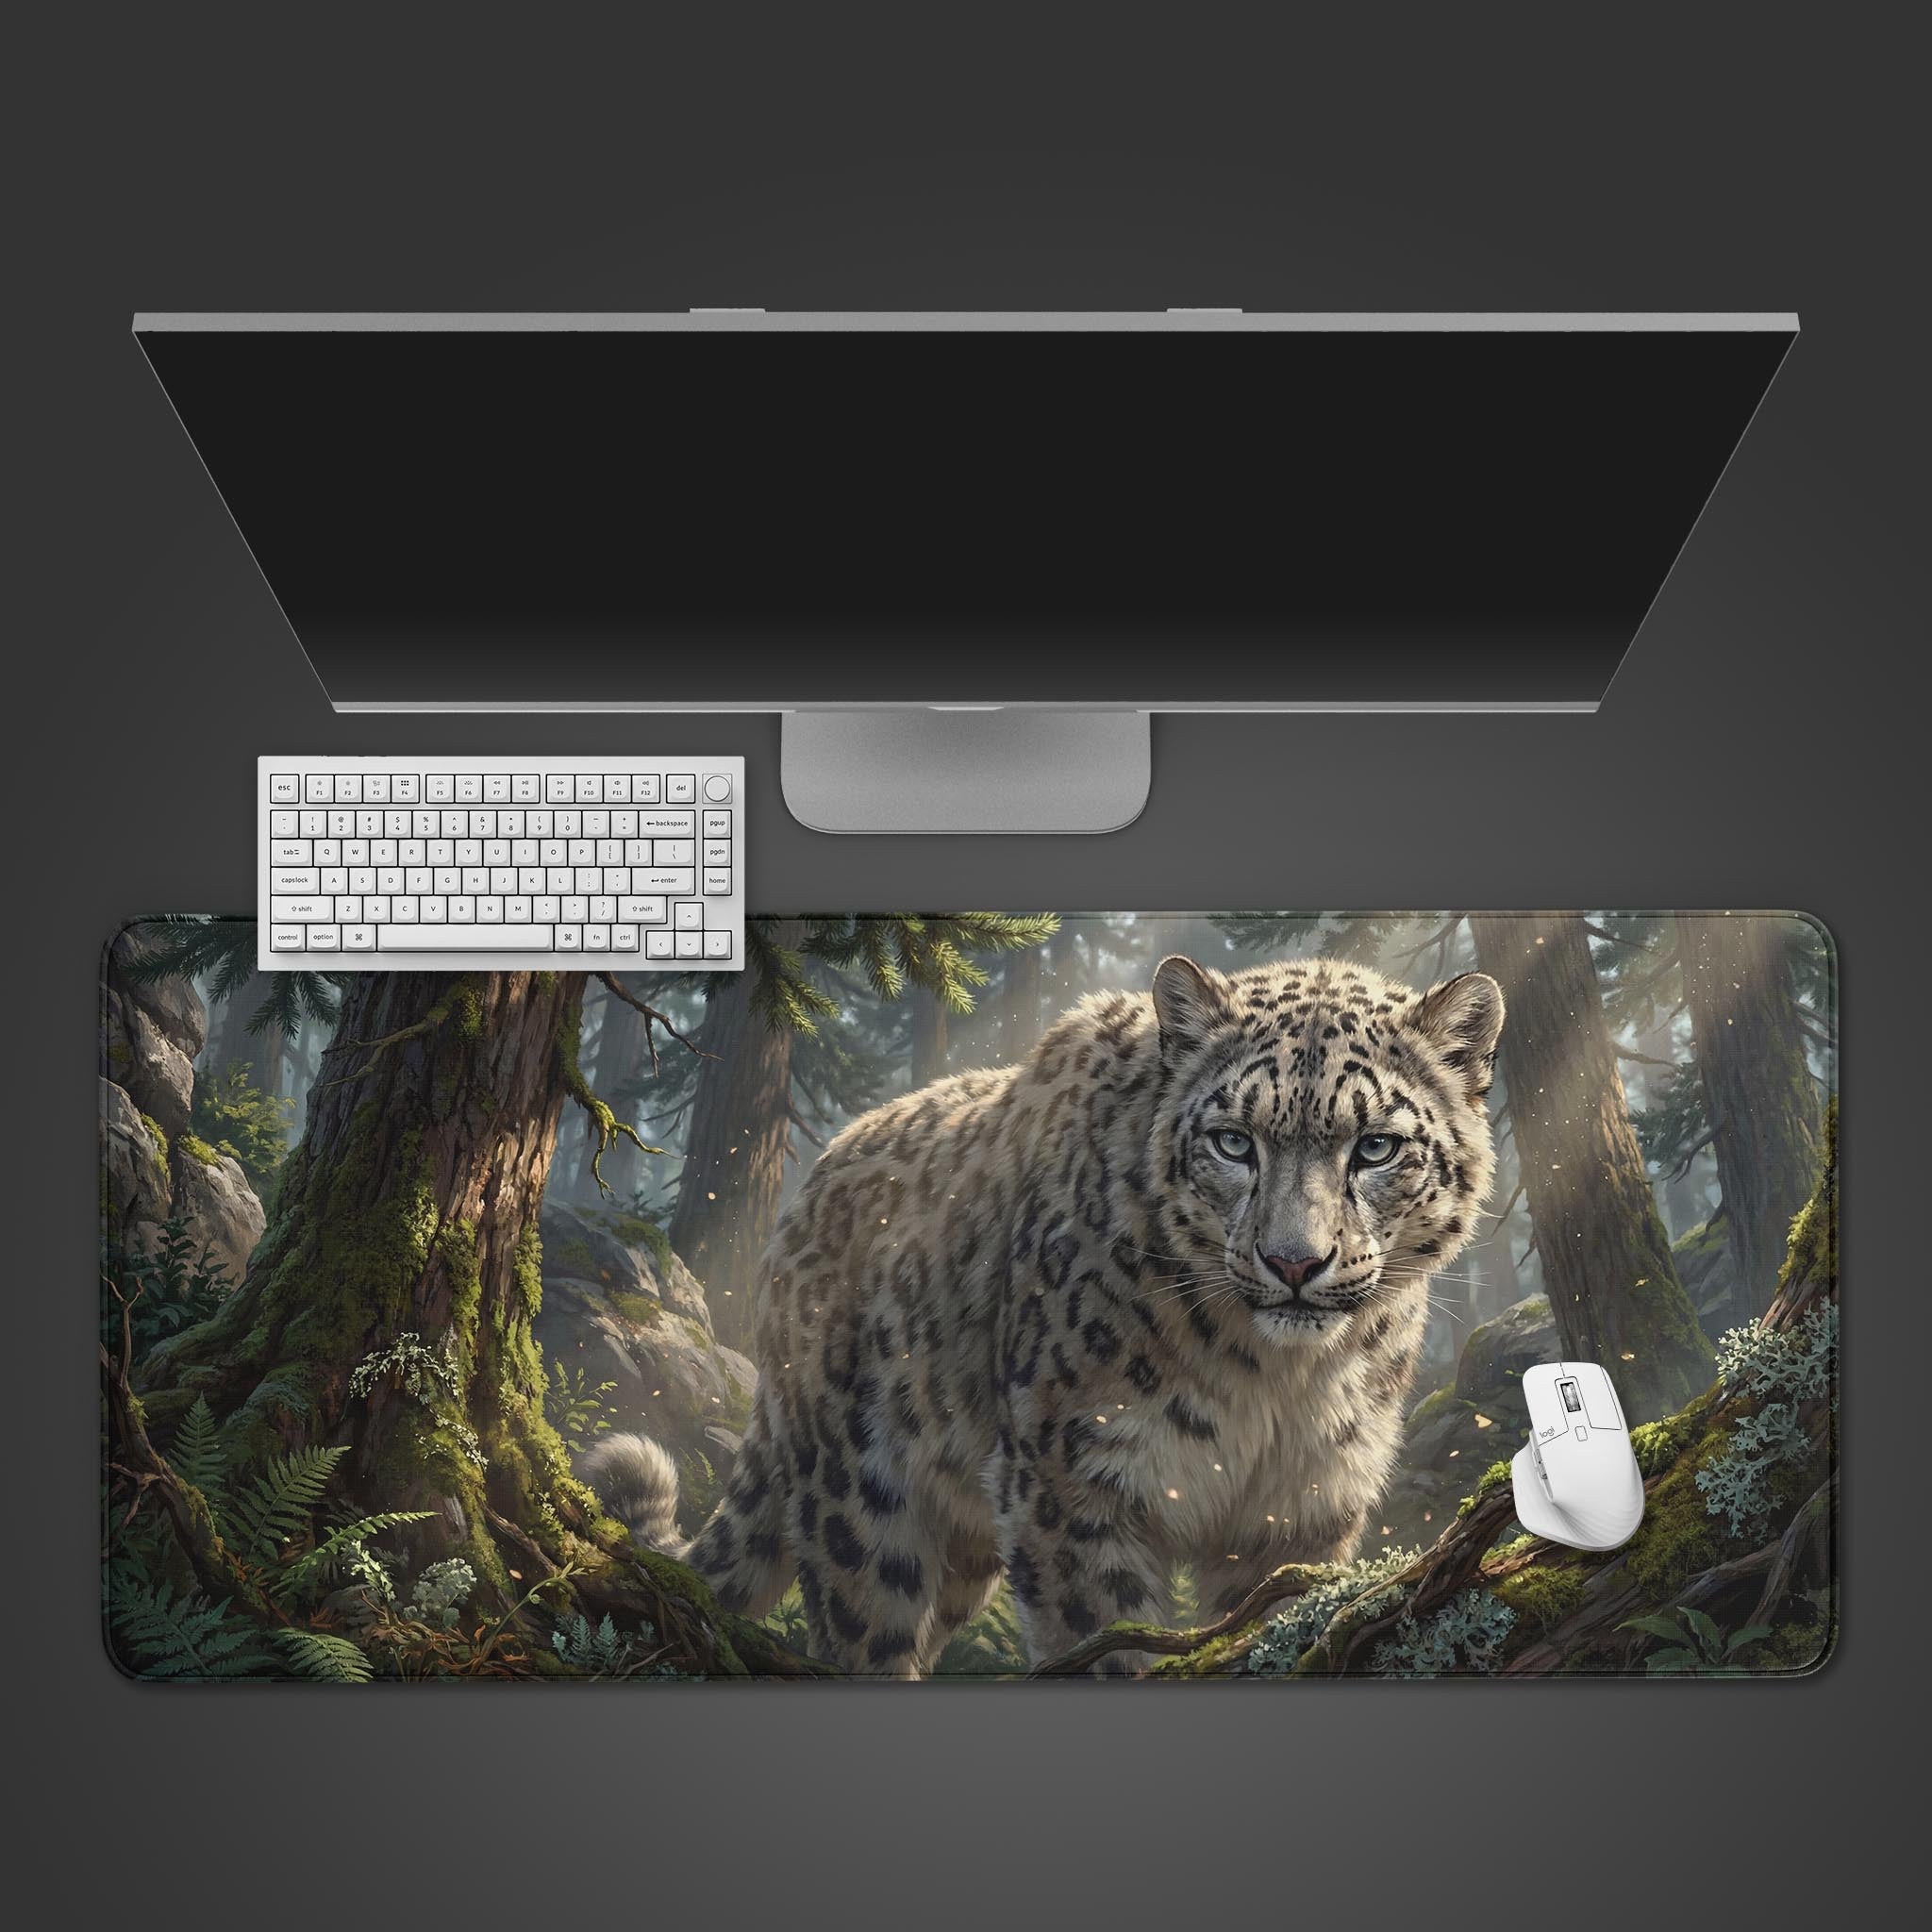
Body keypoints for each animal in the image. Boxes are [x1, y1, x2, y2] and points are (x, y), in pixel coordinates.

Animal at [585, 950, 1505, 1676]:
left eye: (1375, 1146)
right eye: (1234, 1142)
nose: (1294, 1263)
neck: (1276, 1376)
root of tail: (798, 1208)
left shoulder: (1301, 1508)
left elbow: (1269, 1628)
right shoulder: (1075, 1487)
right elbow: (1105, 1646)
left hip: (962, 1544)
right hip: (863, 1511)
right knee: (866, 1633)